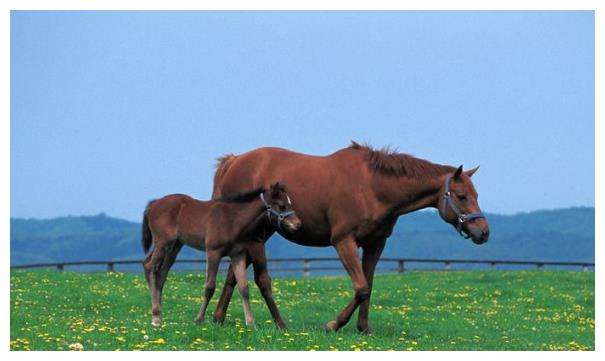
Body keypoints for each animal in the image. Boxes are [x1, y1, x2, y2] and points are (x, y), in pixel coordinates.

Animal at [142, 183, 302, 326]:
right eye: (282, 206)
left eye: (290, 203)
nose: (298, 224)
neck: (232, 219)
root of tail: (154, 204)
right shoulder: (213, 252)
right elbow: (209, 287)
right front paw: (199, 319)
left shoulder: (238, 255)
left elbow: (244, 287)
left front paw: (250, 323)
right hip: (163, 242)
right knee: (150, 266)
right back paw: (155, 317)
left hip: (175, 246)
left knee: (161, 273)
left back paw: (159, 315)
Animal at [210, 141, 488, 332]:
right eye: (462, 196)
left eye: (476, 195)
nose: (484, 232)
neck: (372, 187)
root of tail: (234, 161)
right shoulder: (343, 242)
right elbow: (361, 287)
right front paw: (334, 324)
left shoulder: (376, 244)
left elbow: (368, 285)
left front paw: (363, 328)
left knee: (233, 275)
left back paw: (218, 319)